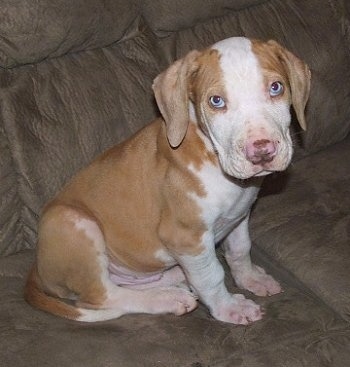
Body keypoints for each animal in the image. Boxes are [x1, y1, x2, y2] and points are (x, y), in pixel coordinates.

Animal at [24, 37, 310, 324]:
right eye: (216, 101)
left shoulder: (239, 215)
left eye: (276, 87)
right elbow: (211, 276)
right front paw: (229, 308)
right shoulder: (186, 237)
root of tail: (37, 265)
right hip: (73, 223)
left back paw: (175, 280)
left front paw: (250, 279)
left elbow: (240, 250)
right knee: (103, 295)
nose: (262, 151)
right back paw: (167, 298)